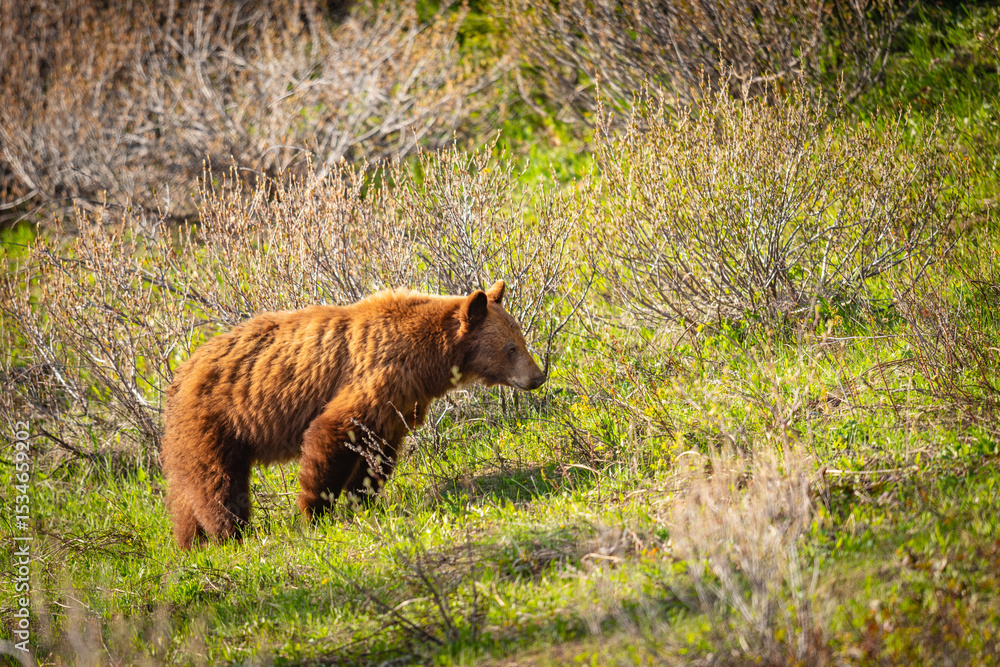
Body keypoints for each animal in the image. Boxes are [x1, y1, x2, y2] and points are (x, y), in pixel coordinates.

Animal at [161, 280, 546, 549]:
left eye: (522, 340)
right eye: (511, 348)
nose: (538, 377)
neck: (427, 355)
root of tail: (179, 374)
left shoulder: (399, 403)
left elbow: (376, 454)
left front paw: (364, 499)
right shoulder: (373, 377)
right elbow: (331, 434)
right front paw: (314, 513)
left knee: (184, 492)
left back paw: (190, 542)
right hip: (217, 420)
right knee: (217, 482)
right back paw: (231, 533)